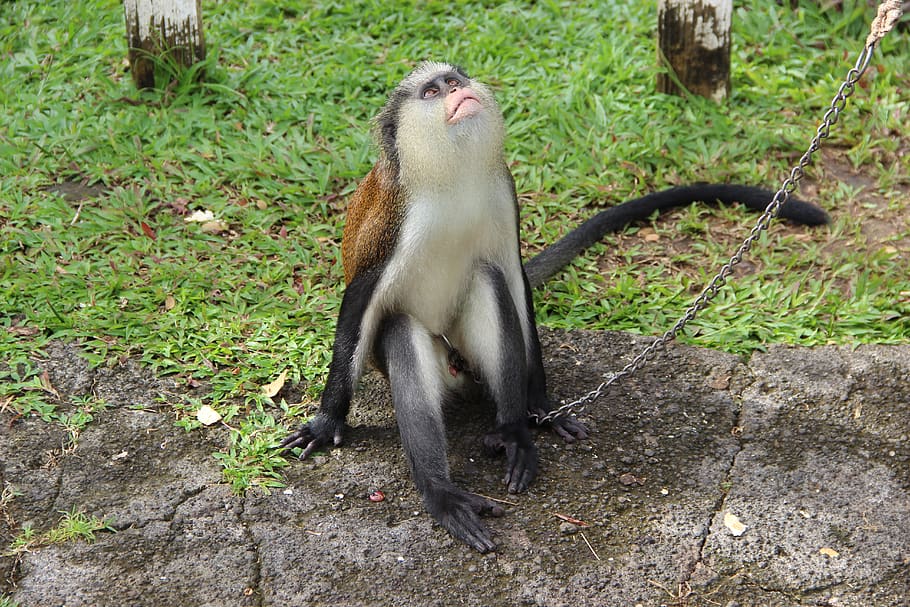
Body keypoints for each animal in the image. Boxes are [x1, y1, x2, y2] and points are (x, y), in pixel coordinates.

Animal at [280, 61, 829, 553]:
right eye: (432, 91)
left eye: (454, 80)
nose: (457, 91)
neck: (451, 173)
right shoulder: (393, 219)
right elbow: (361, 298)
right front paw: (326, 423)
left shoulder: (501, 190)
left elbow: (512, 278)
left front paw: (540, 403)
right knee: (397, 328)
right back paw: (441, 493)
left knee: (488, 281)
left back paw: (515, 434)